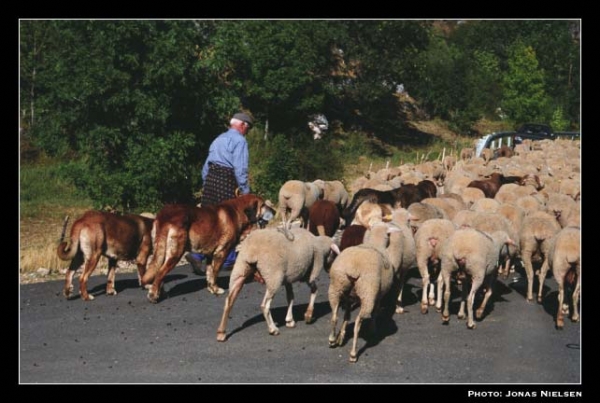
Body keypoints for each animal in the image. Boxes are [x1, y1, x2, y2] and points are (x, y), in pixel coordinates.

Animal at [142, 193, 274, 304]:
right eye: (263, 205)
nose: (274, 210)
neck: (238, 212)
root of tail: (164, 216)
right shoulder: (221, 253)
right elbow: (215, 273)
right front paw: (216, 289)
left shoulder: (210, 255)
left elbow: (210, 273)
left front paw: (211, 288)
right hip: (175, 253)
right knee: (160, 273)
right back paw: (153, 295)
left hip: (162, 251)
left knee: (157, 271)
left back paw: (159, 291)